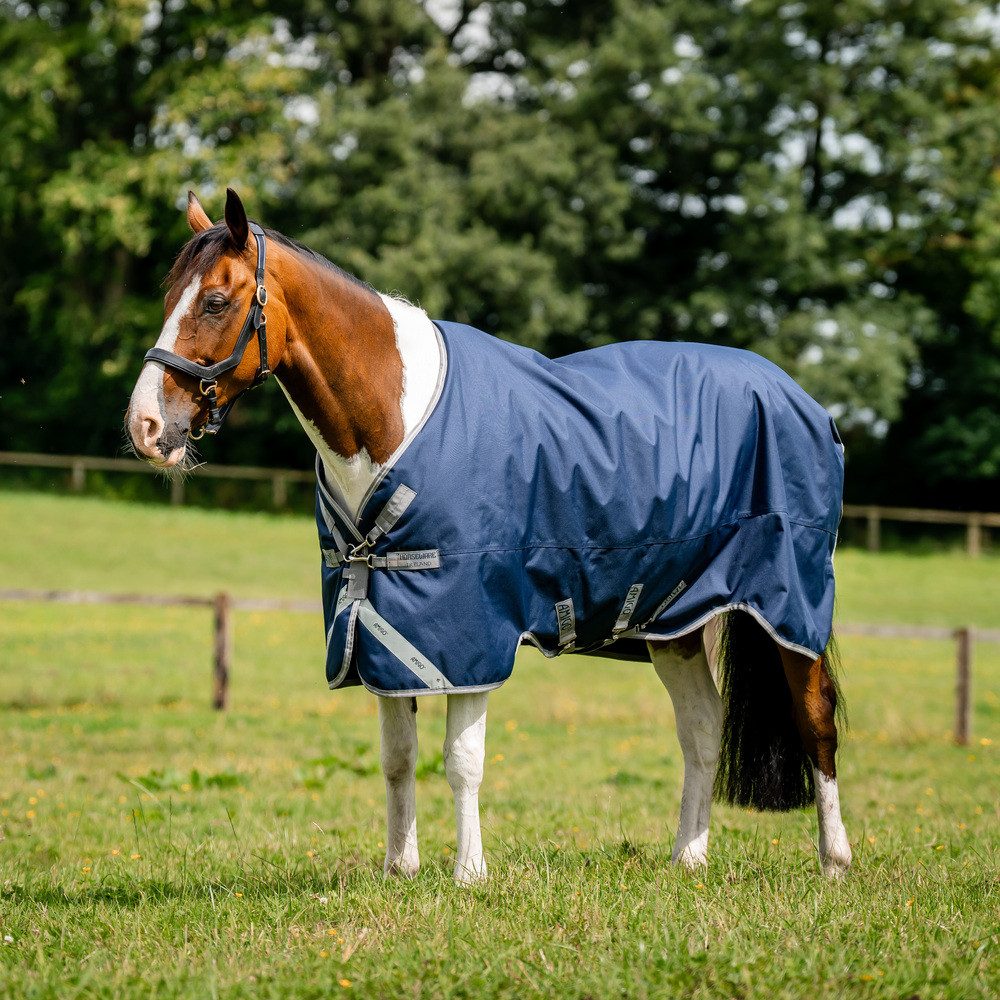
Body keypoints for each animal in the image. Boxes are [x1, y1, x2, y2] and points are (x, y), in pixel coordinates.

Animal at [125, 189, 852, 884]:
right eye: (167, 297)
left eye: (216, 300)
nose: (145, 427)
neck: (394, 417)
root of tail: (800, 398)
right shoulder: (384, 632)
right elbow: (397, 758)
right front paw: (399, 868)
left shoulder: (468, 634)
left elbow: (461, 760)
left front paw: (469, 873)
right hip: (673, 621)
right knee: (702, 730)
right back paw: (688, 859)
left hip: (788, 606)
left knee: (815, 721)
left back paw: (834, 860)